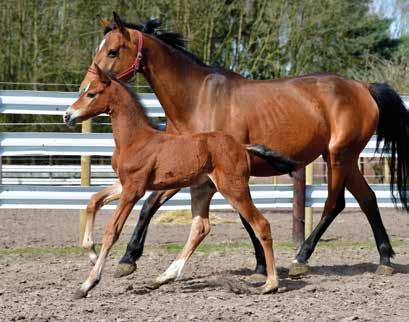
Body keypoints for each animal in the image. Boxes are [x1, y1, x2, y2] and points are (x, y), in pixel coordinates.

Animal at [63, 66, 294, 300]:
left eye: (92, 94)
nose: (67, 115)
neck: (136, 140)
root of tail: (242, 146)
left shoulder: (133, 189)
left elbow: (112, 230)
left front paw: (87, 284)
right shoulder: (125, 184)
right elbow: (93, 201)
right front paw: (91, 251)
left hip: (233, 188)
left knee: (261, 224)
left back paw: (270, 284)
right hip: (201, 189)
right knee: (201, 228)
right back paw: (163, 277)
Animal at [79, 13, 408, 280]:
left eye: (112, 51)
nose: (86, 87)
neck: (196, 99)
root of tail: (363, 87)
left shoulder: (223, 172)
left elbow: (244, 217)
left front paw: (262, 267)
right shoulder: (186, 171)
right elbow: (149, 205)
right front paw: (127, 259)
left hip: (339, 157)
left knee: (334, 204)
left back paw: (301, 258)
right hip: (343, 159)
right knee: (367, 199)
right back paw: (385, 259)